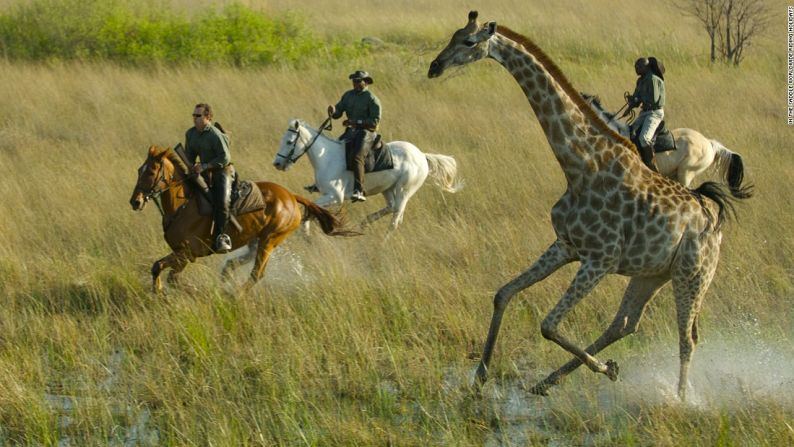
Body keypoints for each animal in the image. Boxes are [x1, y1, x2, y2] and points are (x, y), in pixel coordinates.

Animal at [130, 145, 346, 292]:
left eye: (151, 171)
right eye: (139, 170)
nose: (135, 201)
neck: (182, 206)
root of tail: (291, 197)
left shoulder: (187, 254)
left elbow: (167, 274)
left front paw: (189, 291)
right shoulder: (180, 254)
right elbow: (159, 269)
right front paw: (160, 290)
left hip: (270, 240)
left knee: (257, 273)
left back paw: (234, 295)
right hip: (256, 240)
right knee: (237, 264)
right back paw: (226, 280)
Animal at [272, 119, 460, 229]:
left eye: (289, 142)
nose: (277, 164)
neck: (327, 157)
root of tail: (422, 156)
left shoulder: (335, 196)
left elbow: (312, 208)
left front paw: (306, 234)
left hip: (404, 191)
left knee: (395, 219)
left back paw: (383, 244)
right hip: (387, 189)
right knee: (391, 207)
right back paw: (365, 223)